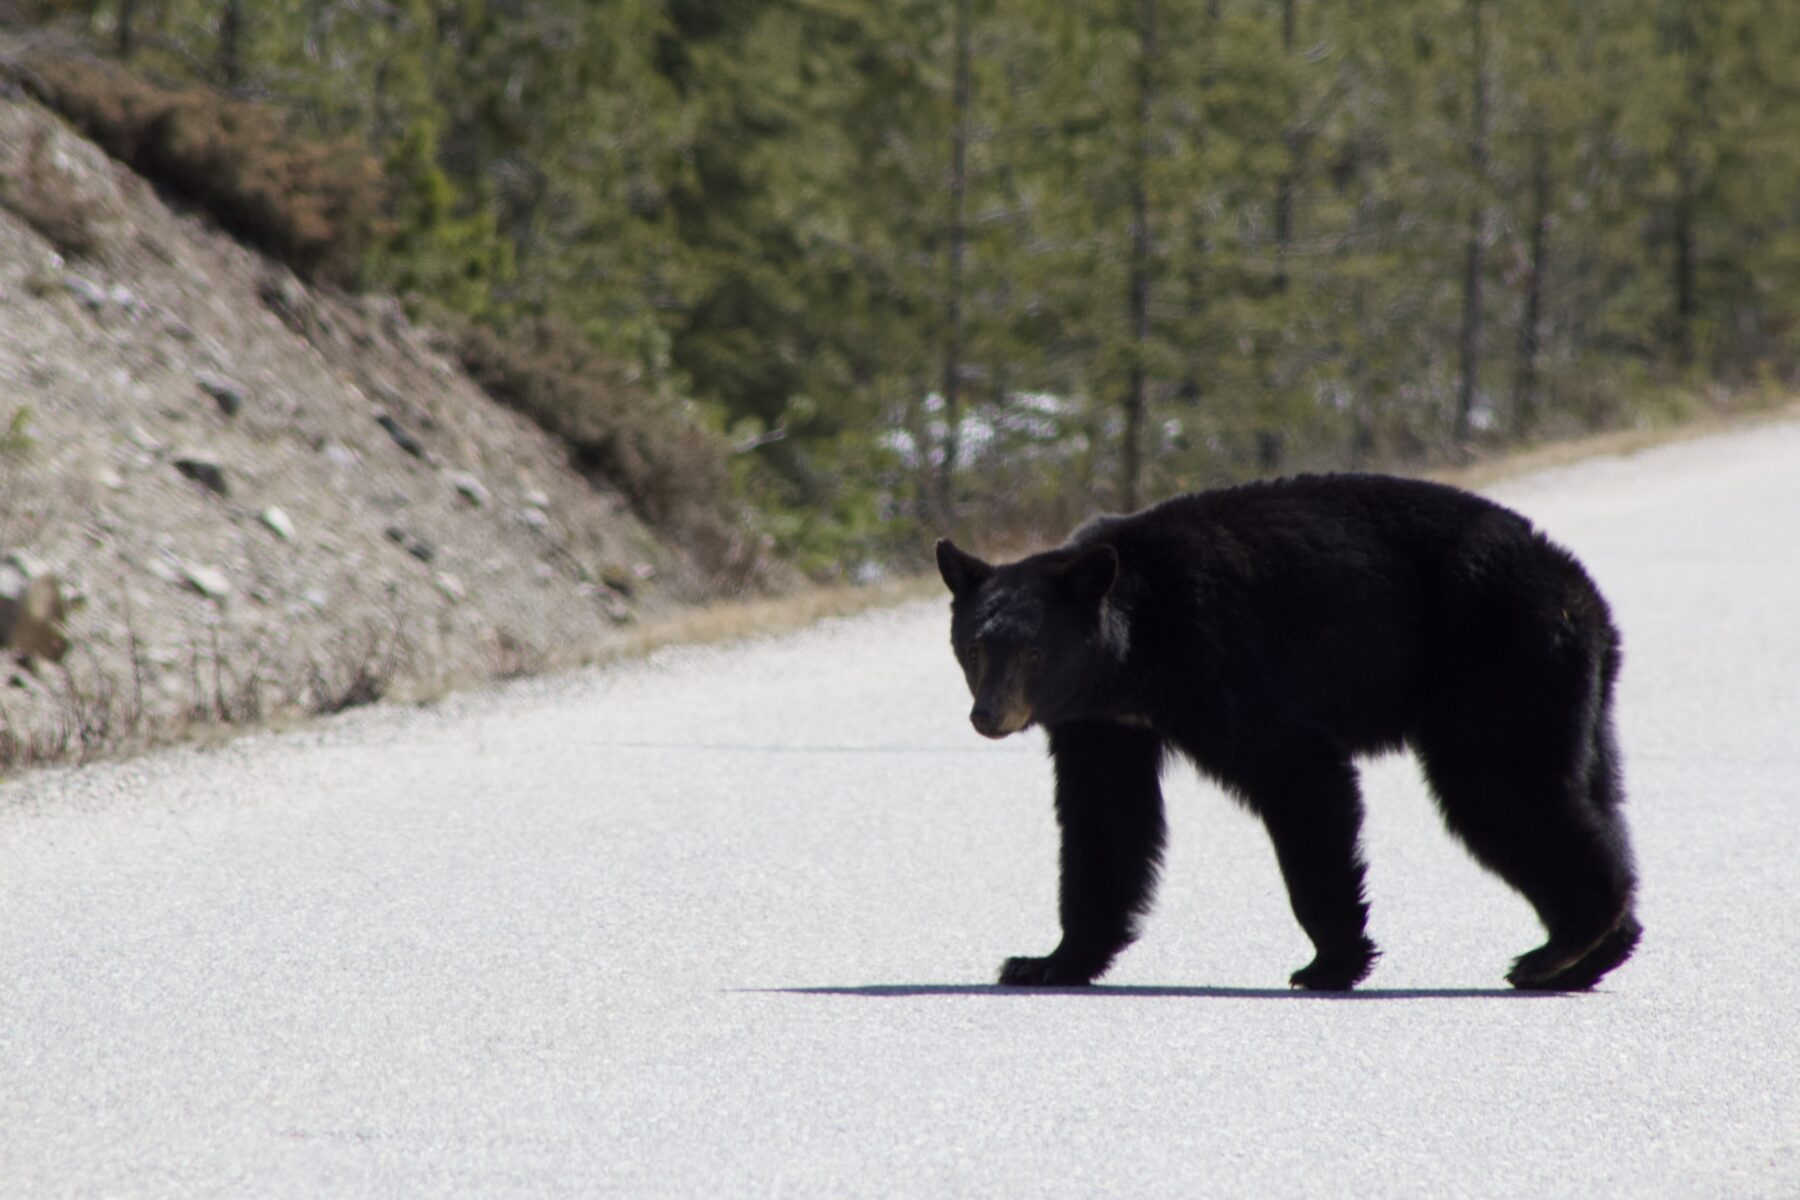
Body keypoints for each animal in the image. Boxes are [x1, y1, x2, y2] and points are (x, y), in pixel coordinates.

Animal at [935, 473, 1640, 992]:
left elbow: (1300, 770)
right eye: (973, 648)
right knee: (1589, 794)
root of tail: (1581, 592)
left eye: (1032, 652)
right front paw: (1047, 960)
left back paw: (1563, 943)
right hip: (1574, 696)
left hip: (1500, 659)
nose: (987, 716)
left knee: (1498, 788)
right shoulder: (1102, 721)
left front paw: (1330, 962)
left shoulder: (1212, 661)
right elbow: (1106, 819)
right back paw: (1592, 954)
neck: (1129, 653)